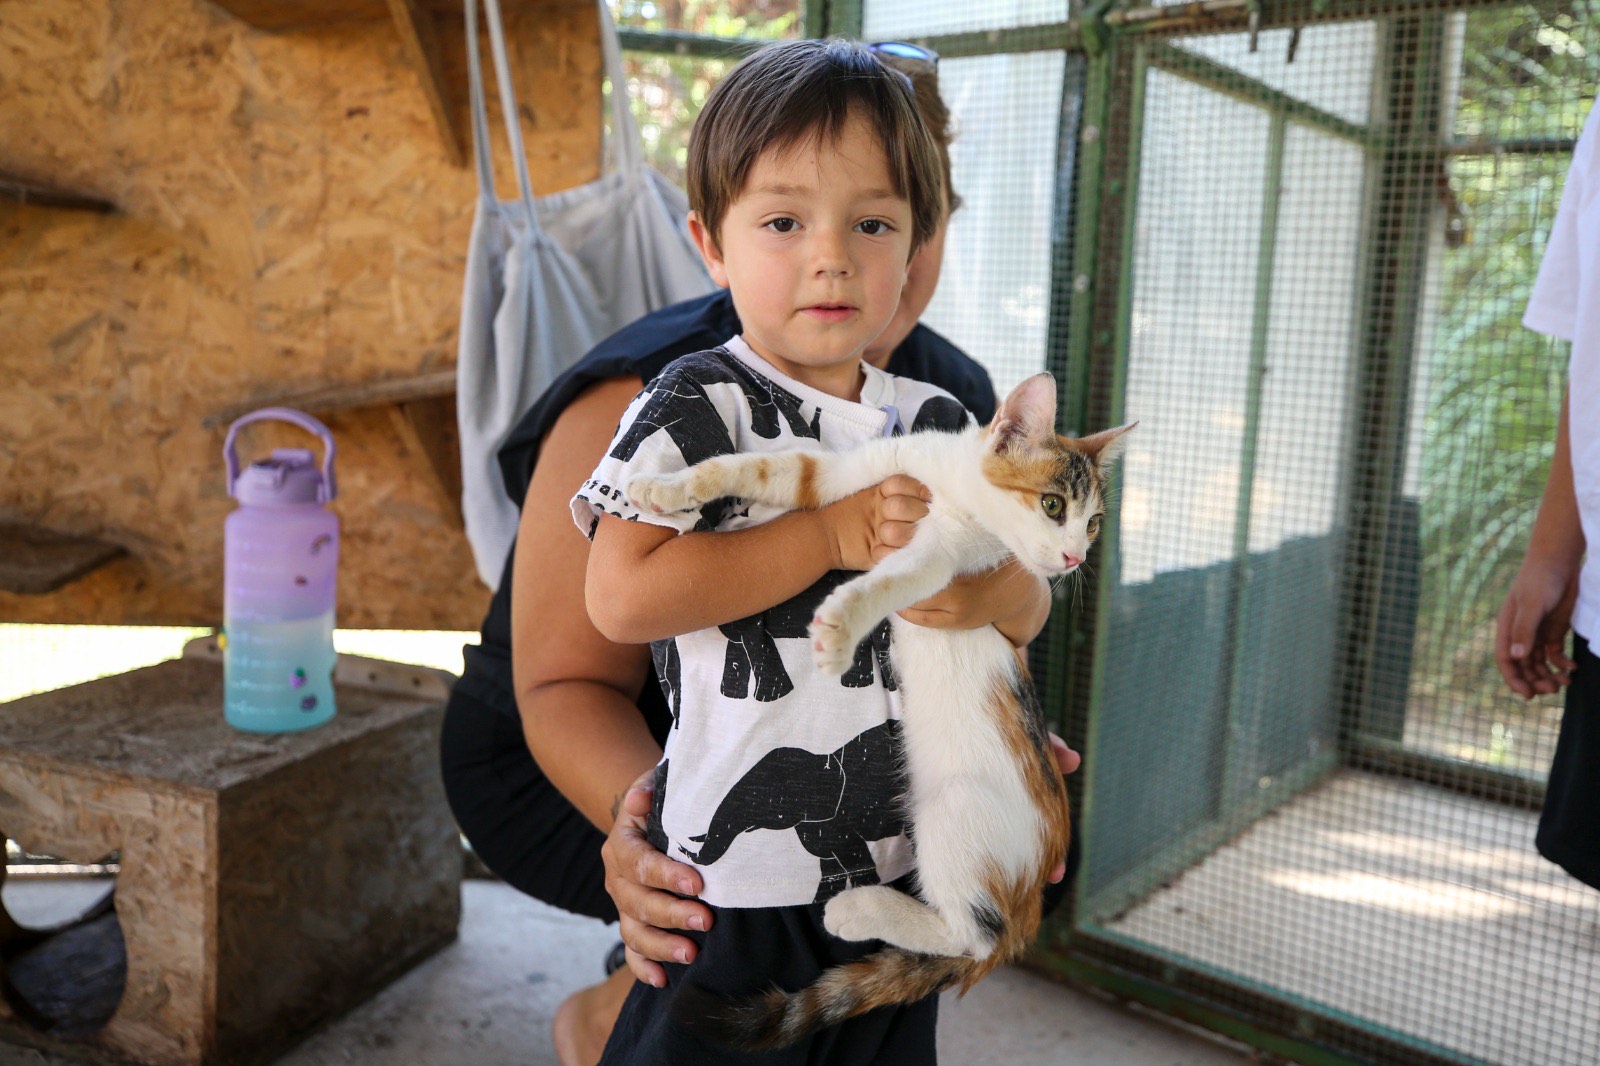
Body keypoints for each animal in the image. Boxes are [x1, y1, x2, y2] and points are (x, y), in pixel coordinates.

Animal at [627, 369, 1139, 1043]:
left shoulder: (944, 561)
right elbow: (764, 467)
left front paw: (841, 625)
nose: (1075, 557)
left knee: (973, 937)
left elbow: (893, 578)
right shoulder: (851, 473)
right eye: (1055, 506)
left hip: (954, 812)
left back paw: (858, 907)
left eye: (1094, 524)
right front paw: (662, 488)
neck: (954, 485)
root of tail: (1029, 905)